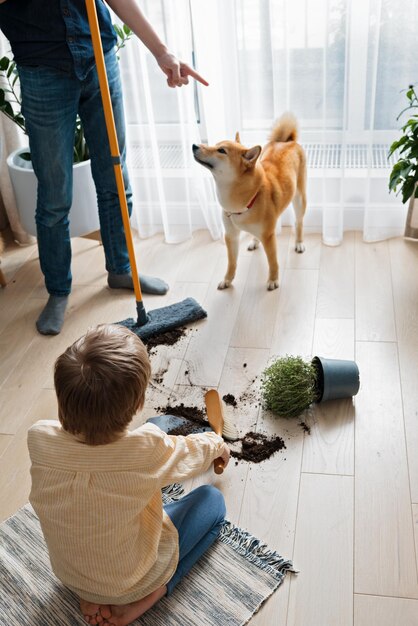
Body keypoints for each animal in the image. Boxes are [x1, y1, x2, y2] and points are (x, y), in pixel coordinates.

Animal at [193, 112, 306, 288]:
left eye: (221, 150)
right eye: (215, 144)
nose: (194, 146)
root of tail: (287, 142)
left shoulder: (268, 236)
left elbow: (273, 262)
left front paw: (273, 280)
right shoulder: (231, 235)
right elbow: (231, 262)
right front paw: (227, 279)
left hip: (300, 199)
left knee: (298, 222)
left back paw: (299, 243)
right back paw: (254, 241)